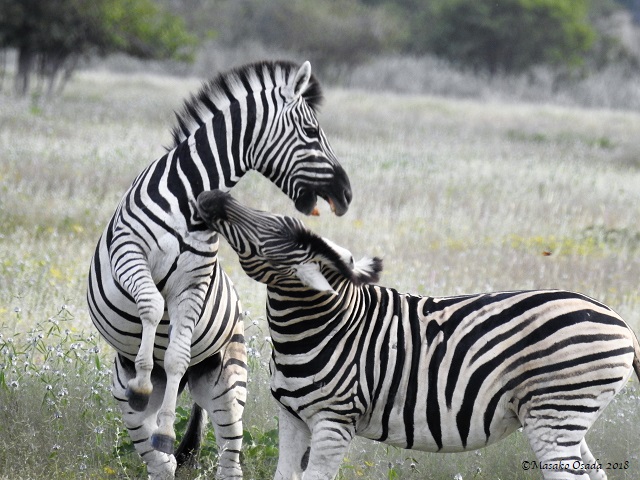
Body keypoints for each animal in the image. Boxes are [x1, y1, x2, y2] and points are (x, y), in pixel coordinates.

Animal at [86, 60, 352, 479]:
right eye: (311, 132)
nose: (346, 194)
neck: (188, 201)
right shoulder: (129, 253)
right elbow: (151, 305)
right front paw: (142, 380)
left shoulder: (193, 284)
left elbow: (176, 354)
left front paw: (166, 430)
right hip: (125, 397)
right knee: (157, 458)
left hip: (227, 385)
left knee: (228, 458)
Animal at [196, 189, 640, 480]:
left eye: (273, 235)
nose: (212, 194)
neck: (318, 327)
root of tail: (621, 322)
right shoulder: (291, 417)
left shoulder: (333, 421)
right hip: (560, 416)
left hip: (557, 412)